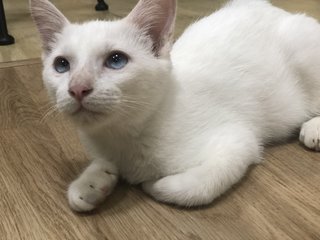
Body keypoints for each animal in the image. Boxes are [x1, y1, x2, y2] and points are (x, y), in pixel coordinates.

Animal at [31, 0, 320, 211]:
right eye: (61, 65)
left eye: (116, 60)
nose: (78, 88)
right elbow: (94, 176)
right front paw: (91, 182)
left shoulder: (237, 140)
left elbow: (197, 186)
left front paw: (153, 185)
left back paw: (313, 128)